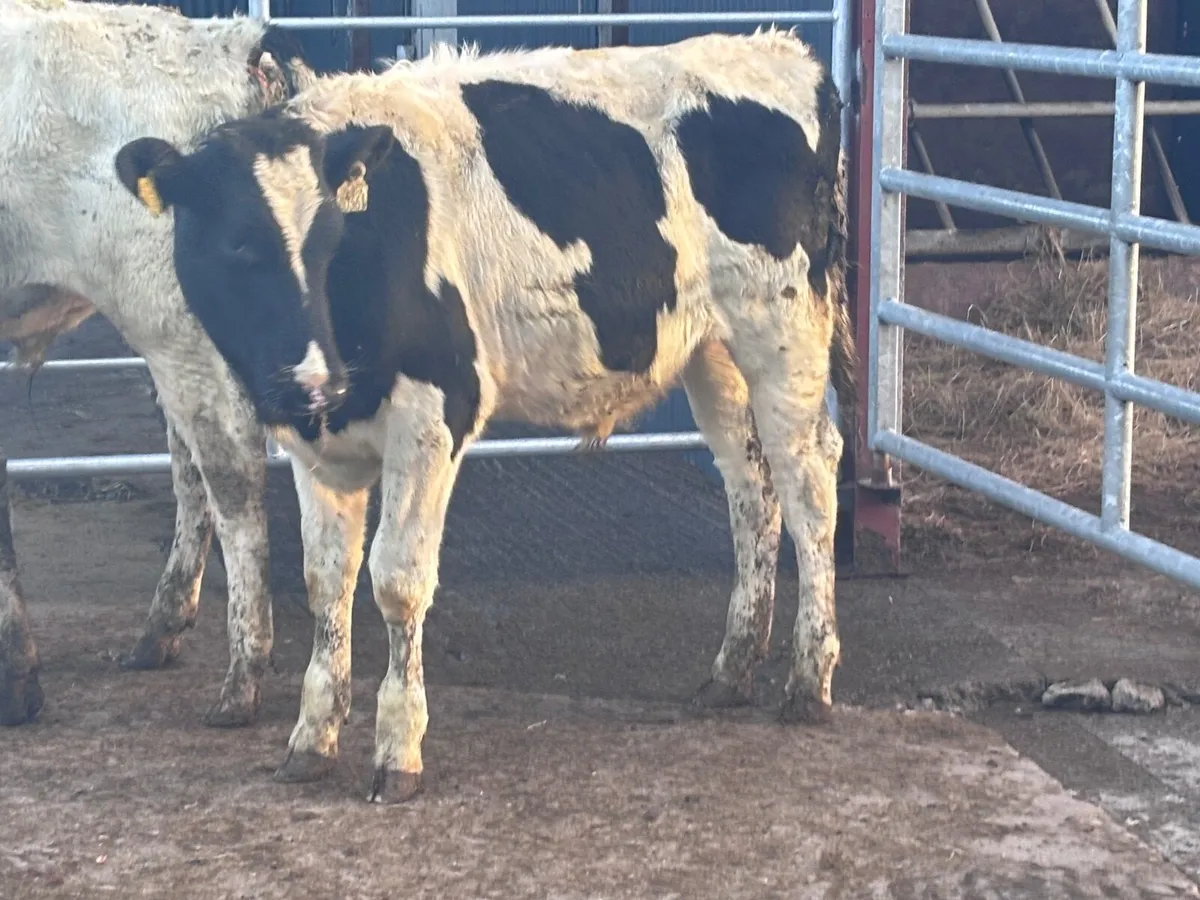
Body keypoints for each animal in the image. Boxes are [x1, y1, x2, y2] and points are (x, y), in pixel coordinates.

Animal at [0, 0, 316, 726]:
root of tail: (232, 40)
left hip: (171, 322)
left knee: (230, 471)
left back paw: (242, 678)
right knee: (192, 466)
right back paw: (161, 631)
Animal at [115, 28, 855, 802]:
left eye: (331, 240)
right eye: (238, 244)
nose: (312, 382)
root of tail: (780, 50)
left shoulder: (435, 409)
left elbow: (397, 579)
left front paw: (398, 748)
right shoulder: (316, 444)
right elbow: (327, 582)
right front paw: (312, 736)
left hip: (784, 333)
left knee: (809, 486)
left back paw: (809, 680)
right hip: (712, 353)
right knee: (751, 489)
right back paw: (732, 670)